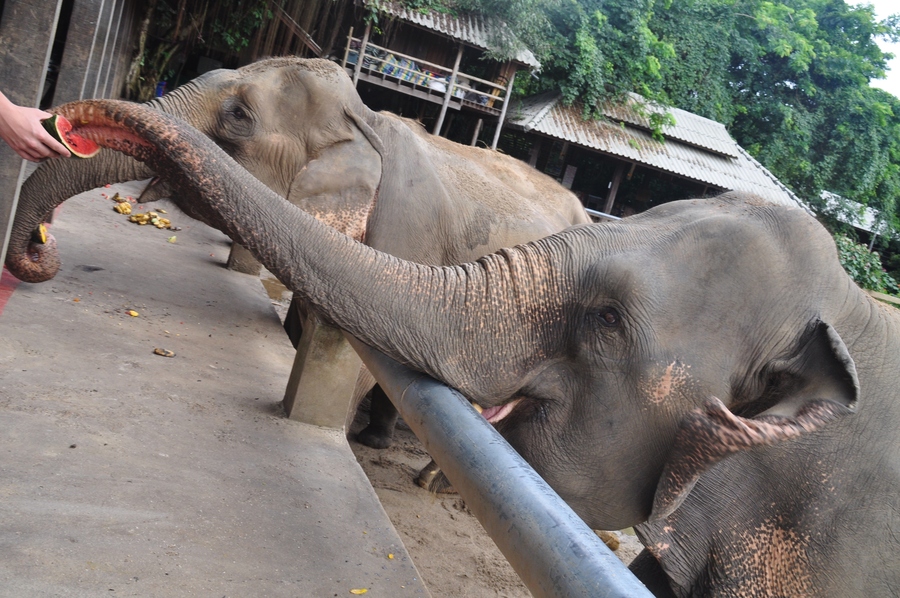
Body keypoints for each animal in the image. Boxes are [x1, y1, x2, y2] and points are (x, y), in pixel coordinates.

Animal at [5, 57, 589, 466]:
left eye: (239, 116)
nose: (41, 245)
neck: (367, 122)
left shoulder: (404, 241)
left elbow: (368, 361)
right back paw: (378, 440)